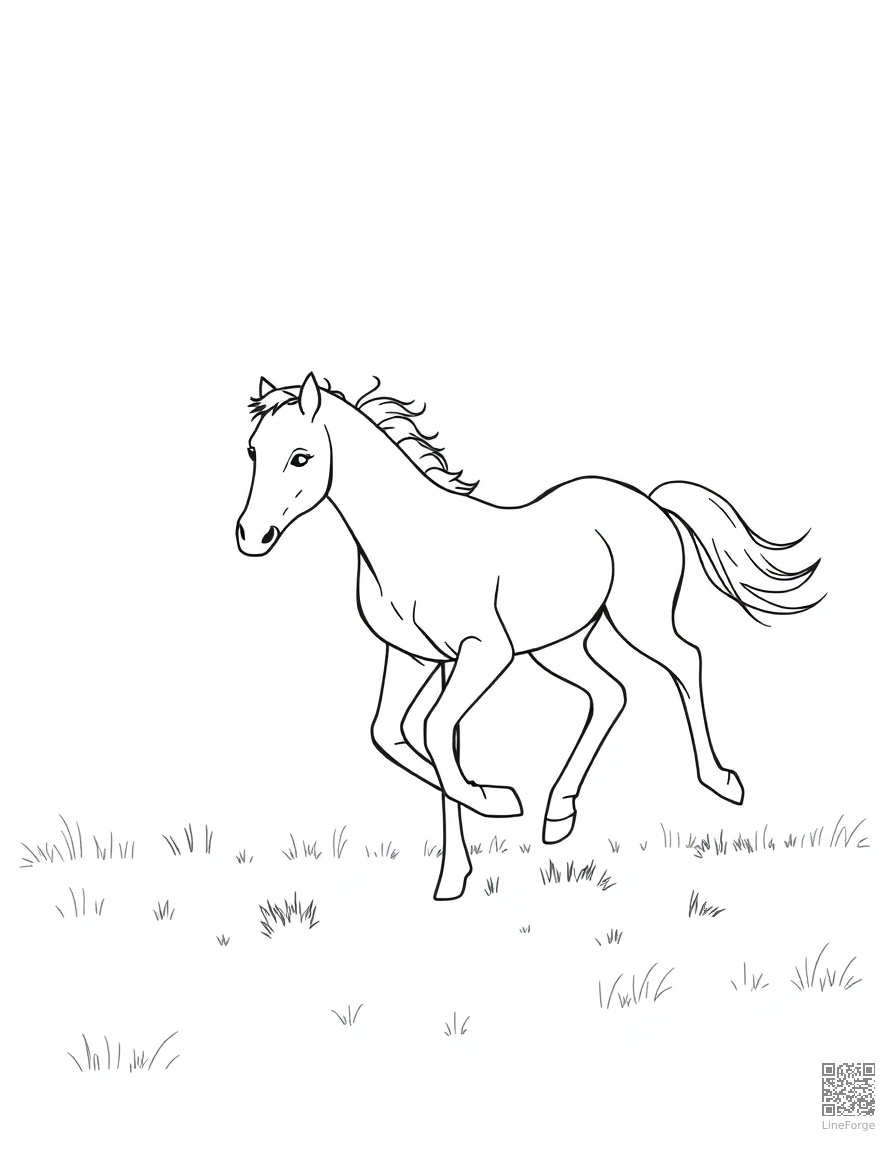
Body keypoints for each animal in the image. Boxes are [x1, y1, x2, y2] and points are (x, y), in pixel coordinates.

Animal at [236, 371, 822, 900]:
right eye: (252, 451)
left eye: (301, 457)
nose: (251, 537)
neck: (413, 542)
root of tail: (650, 501)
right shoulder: (419, 659)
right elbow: (401, 736)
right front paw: (456, 874)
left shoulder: (483, 655)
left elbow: (434, 731)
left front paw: (496, 800)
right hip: (558, 646)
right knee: (611, 693)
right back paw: (558, 814)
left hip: (640, 620)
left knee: (687, 661)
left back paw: (721, 781)